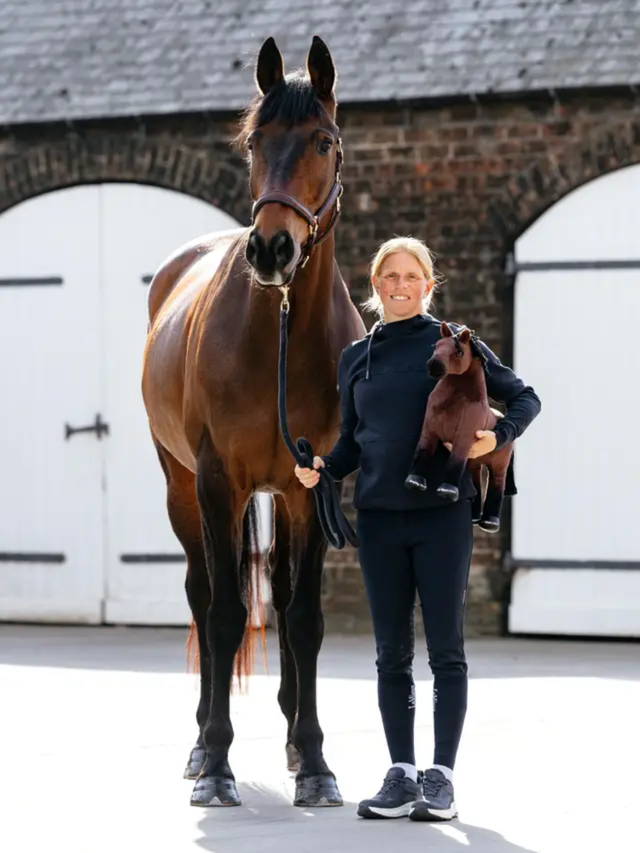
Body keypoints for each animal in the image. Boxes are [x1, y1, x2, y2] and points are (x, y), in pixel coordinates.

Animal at [141, 35, 365, 808]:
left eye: (324, 141)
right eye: (253, 142)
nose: (271, 250)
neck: (282, 336)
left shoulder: (313, 487)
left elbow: (304, 619)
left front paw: (318, 761)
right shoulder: (217, 481)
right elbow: (224, 614)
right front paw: (215, 761)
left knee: (284, 599)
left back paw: (294, 739)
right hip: (182, 489)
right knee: (205, 594)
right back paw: (198, 744)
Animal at [404, 323, 514, 532]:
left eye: (459, 352)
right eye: (436, 345)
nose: (434, 365)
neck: (455, 401)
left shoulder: (462, 438)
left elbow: (455, 461)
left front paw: (447, 491)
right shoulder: (429, 431)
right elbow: (423, 450)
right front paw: (414, 481)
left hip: (499, 465)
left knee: (497, 485)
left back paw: (489, 522)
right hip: (475, 463)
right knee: (476, 481)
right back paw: (474, 517)